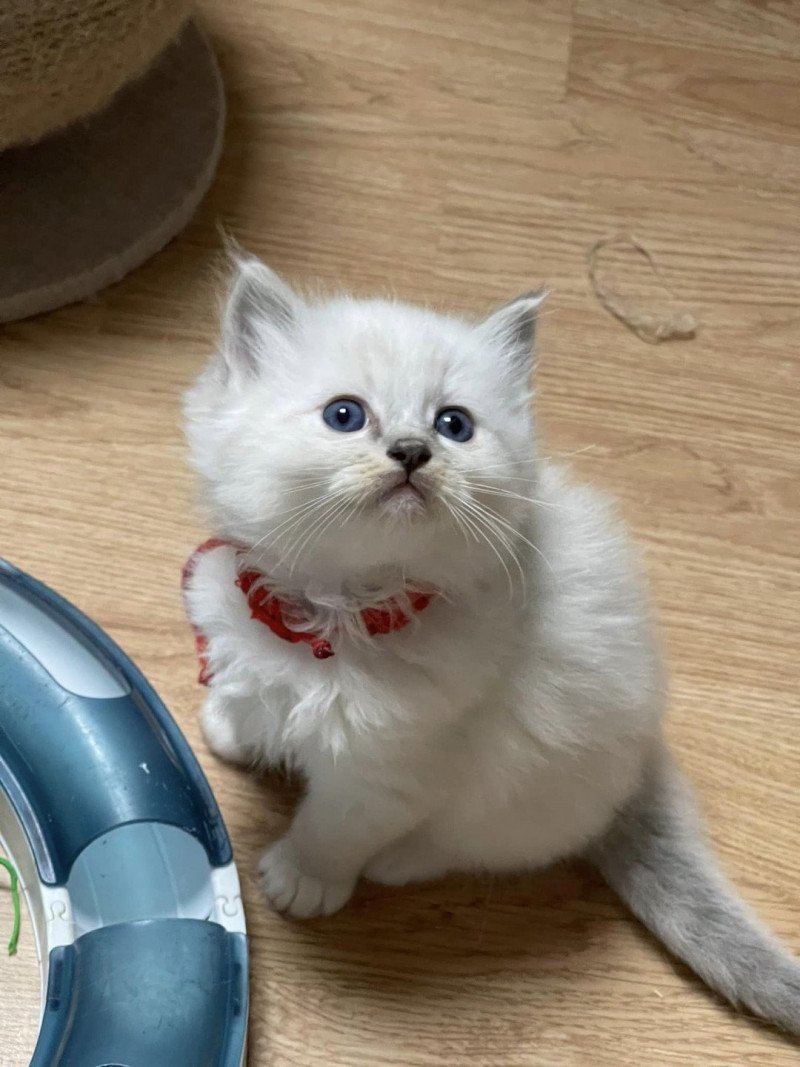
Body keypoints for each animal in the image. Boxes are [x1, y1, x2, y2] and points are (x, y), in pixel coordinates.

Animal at [183, 253, 800, 1037]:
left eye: (454, 426)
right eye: (344, 415)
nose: (413, 452)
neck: (335, 612)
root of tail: (643, 761)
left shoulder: (386, 773)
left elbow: (333, 828)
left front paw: (303, 878)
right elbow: (250, 695)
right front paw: (233, 731)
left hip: (516, 797)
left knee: (463, 848)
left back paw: (396, 862)